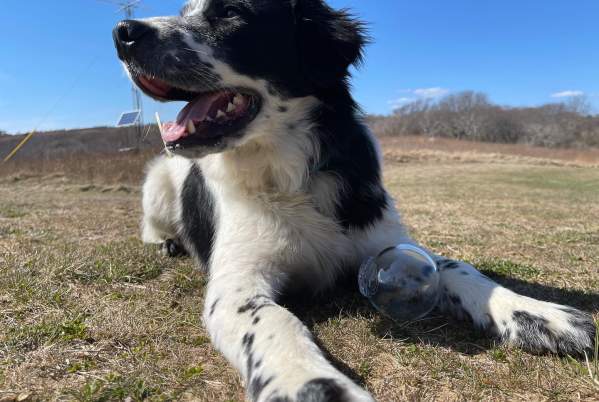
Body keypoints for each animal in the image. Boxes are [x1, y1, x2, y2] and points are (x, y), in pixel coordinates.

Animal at [112, 1, 596, 400]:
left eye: (230, 12)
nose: (123, 32)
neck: (292, 175)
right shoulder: (236, 286)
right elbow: (275, 322)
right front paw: (312, 386)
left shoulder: (387, 245)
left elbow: (460, 268)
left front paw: (538, 313)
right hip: (157, 181)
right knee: (150, 226)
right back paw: (167, 243)